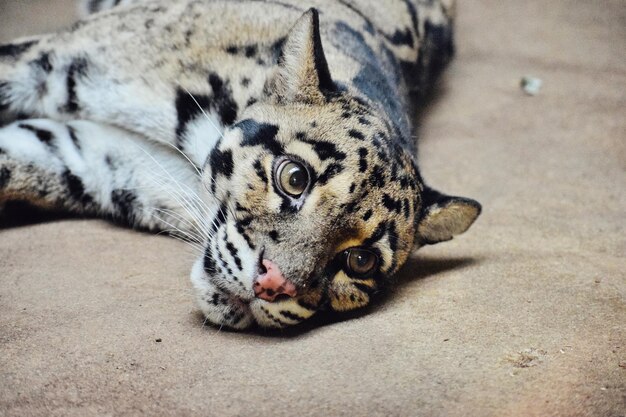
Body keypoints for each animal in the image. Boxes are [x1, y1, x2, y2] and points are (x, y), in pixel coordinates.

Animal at [0, 0, 480, 330]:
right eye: (294, 178)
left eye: (360, 261)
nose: (274, 285)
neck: (185, 148)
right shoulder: (49, 61)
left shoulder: (96, 157)